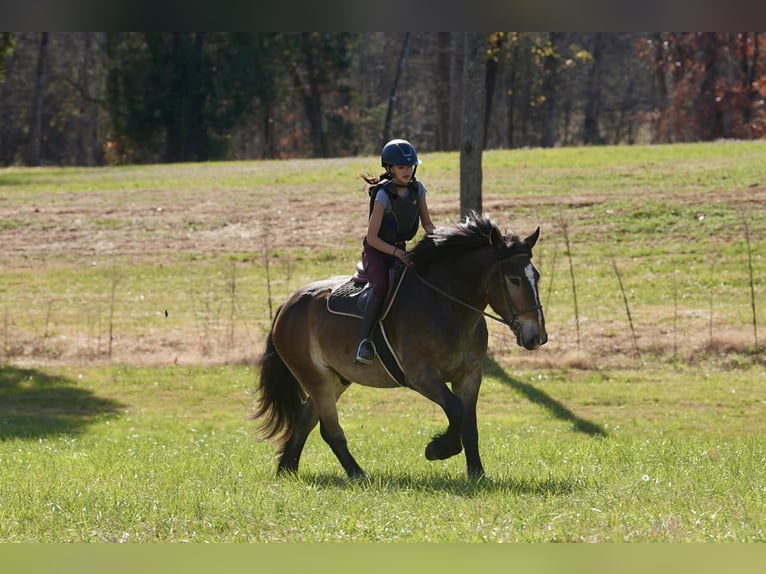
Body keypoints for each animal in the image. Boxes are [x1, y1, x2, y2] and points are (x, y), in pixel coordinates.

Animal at [253, 212, 547, 481]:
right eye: (514, 280)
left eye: (537, 277)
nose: (537, 337)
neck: (447, 307)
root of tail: (287, 305)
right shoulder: (422, 377)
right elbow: (456, 410)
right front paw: (438, 449)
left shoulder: (470, 376)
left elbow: (470, 426)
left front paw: (477, 474)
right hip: (316, 377)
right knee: (329, 429)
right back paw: (357, 474)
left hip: (336, 378)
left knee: (305, 419)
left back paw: (288, 469)